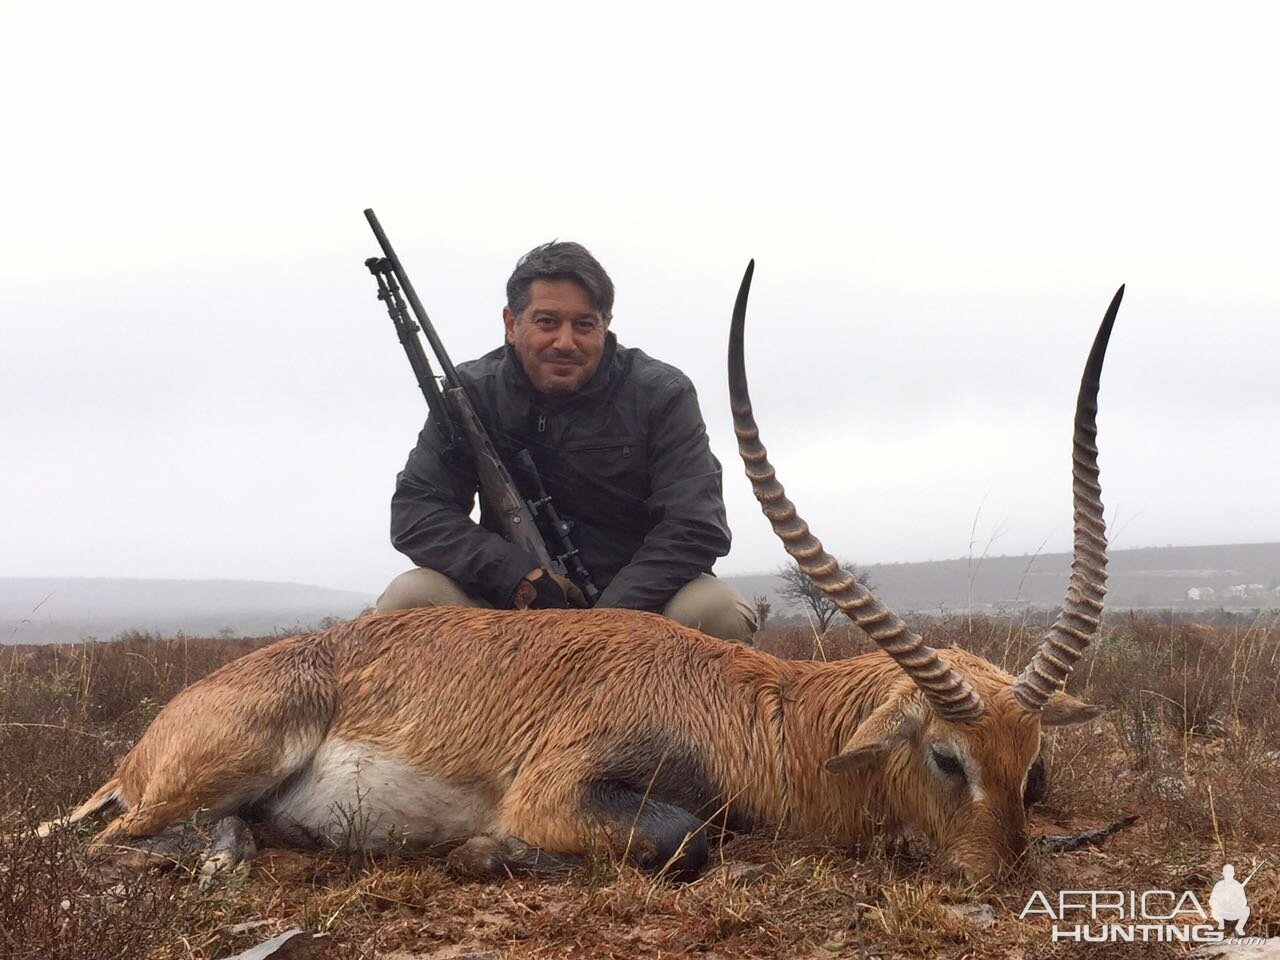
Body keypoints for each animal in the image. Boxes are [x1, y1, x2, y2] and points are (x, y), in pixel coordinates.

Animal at [37, 267, 1121, 885]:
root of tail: (146, 742)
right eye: (946, 756)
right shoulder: (559, 791)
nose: (999, 876)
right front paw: (484, 854)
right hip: (224, 764)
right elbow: (685, 839)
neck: (745, 710)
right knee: (111, 845)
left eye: (1031, 762)